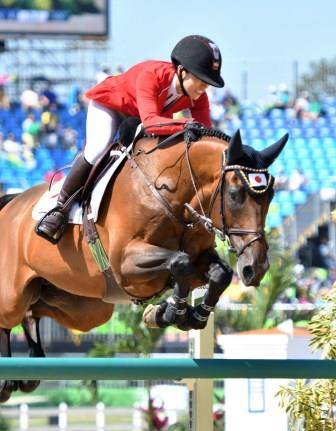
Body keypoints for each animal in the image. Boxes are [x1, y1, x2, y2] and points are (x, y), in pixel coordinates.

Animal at [0, 125, 288, 402]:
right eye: (235, 195)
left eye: (271, 196)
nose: (256, 268)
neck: (169, 193)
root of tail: (11, 202)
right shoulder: (125, 264)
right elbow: (180, 262)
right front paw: (173, 313)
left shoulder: (200, 259)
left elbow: (219, 273)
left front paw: (181, 315)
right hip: (13, 294)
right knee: (9, 317)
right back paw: (7, 382)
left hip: (82, 307)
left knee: (34, 309)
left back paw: (31, 363)